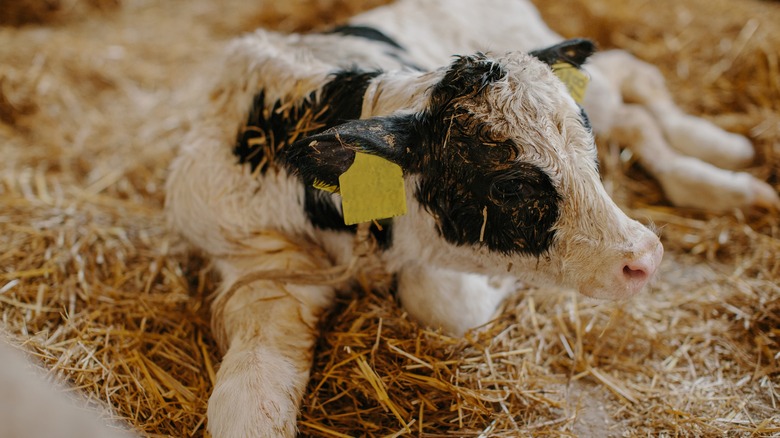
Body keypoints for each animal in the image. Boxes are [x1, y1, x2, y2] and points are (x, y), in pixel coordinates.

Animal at [165, 1, 772, 436]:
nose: (645, 256)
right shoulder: (256, 267)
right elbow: (247, 407)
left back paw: (726, 164)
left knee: (634, 86)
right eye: (509, 185)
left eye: (589, 150)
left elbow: (445, 301)